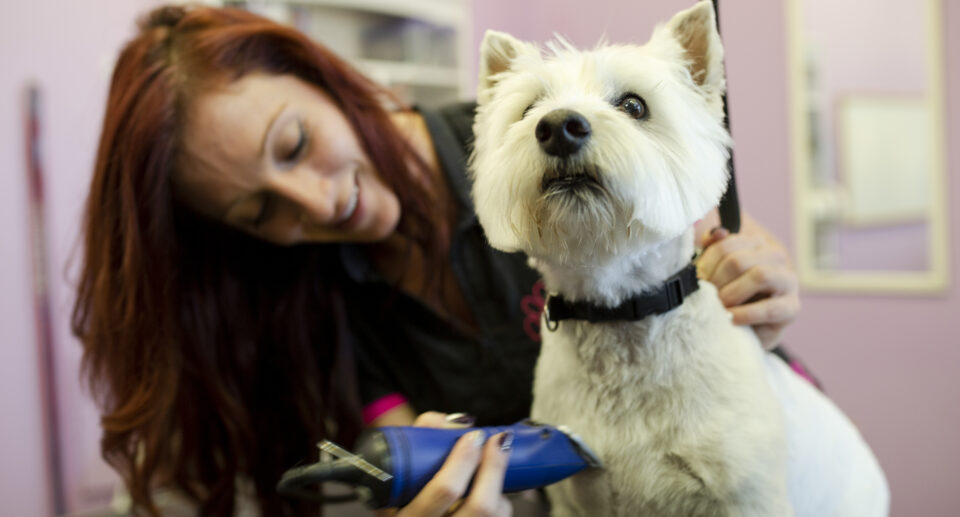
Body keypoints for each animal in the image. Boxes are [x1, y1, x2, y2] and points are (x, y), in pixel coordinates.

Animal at [468, 2, 888, 512]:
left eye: (634, 106)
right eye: (529, 110)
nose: (559, 128)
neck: (619, 314)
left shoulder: (747, 494)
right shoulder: (575, 491)